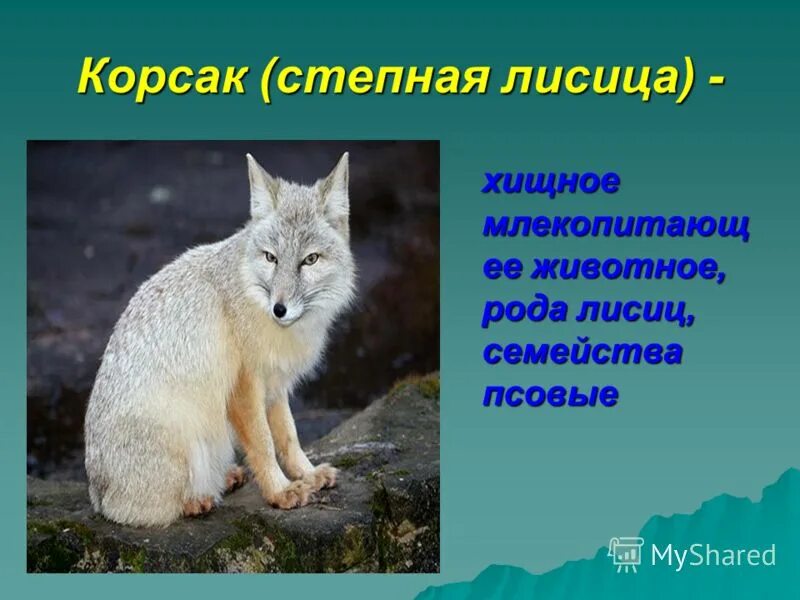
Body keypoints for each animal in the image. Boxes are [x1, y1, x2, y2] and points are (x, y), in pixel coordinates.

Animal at [84, 152, 356, 527]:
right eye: (271, 258)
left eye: (310, 260)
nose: (280, 309)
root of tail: (97, 493)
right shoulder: (244, 388)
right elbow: (264, 444)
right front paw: (281, 492)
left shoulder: (275, 386)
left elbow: (288, 437)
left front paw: (307, 474)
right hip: (186, 432)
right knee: (149, 510)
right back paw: (199, 499)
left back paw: (224, 479)